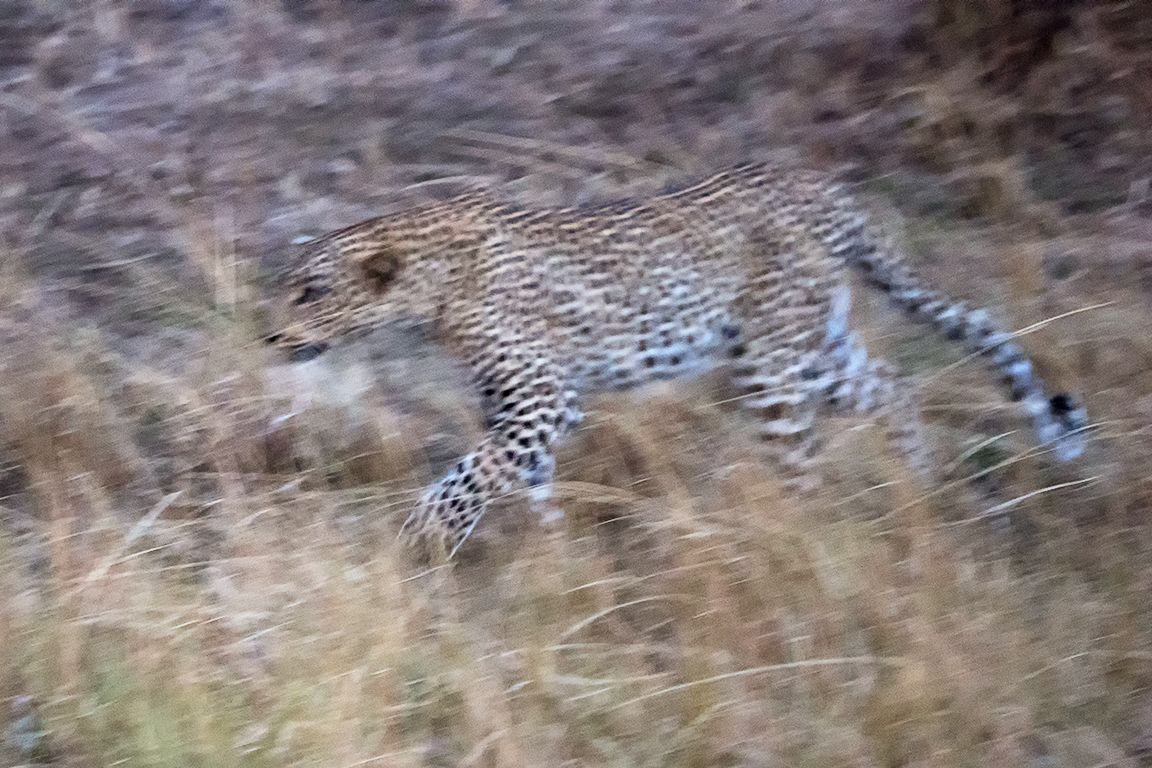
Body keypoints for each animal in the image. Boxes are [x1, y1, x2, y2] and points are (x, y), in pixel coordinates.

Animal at [265, 161, 1088, 557]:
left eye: (310, 291)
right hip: (813, 350)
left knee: (805, 461)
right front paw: (557, 559)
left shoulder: (540, 403)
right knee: (891, 385)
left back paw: (797, 537)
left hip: (771, 368)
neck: (428, 295)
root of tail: (824, 186)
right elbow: (515, 480)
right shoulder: (523, 411)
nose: (271, 338)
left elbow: (464, 479)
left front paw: (423, 541)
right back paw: (919, 483)